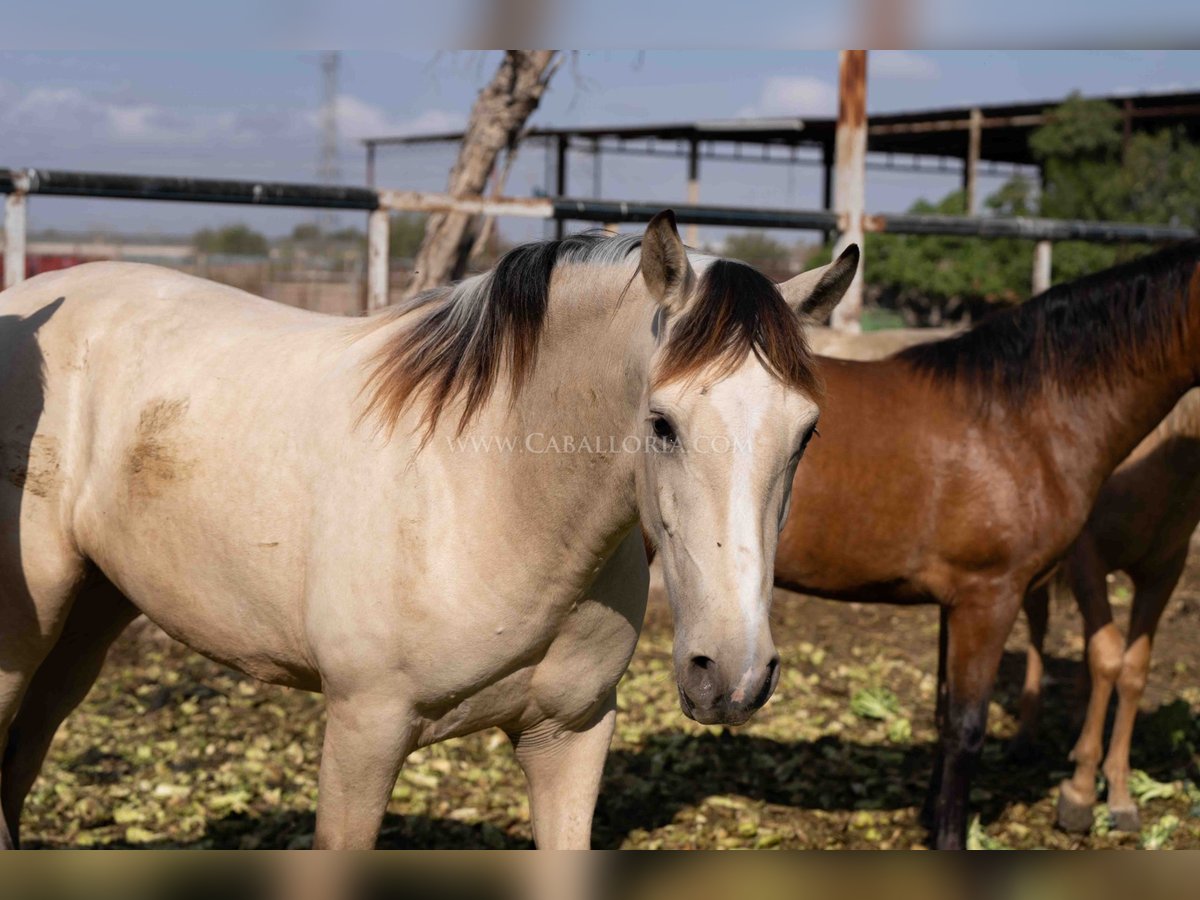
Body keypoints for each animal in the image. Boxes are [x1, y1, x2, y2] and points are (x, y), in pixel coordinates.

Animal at [0, 213, 864, 854]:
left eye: (809, 433)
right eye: (662, 422)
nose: (733, 675)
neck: (487, 498)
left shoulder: (571, 736)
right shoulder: (363, 734)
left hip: (88, 621)